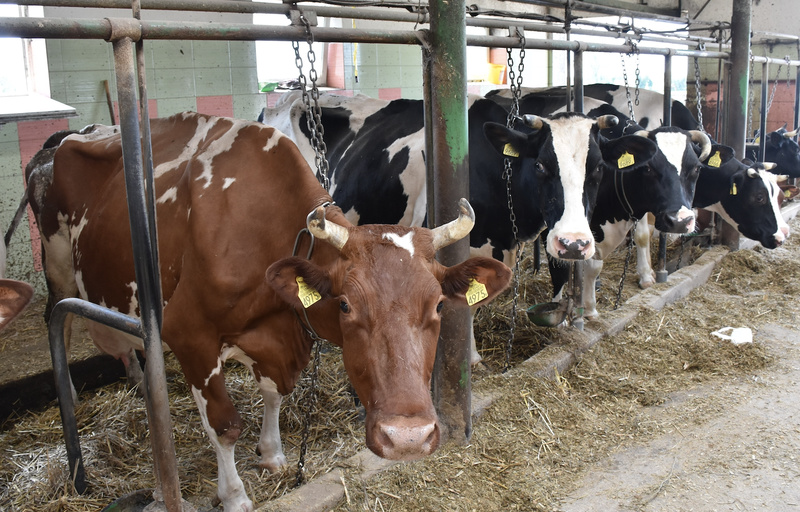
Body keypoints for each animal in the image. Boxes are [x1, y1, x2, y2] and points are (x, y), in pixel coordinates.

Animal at [28, 113, 510, 512]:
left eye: (438, 305)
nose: (408, 439)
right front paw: (235, 496)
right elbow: (224, 425)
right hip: (58, 269)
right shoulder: (190, 334)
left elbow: (275, 393)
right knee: (58, 323)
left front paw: (273, 453)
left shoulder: (275, 338)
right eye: (346, 304)